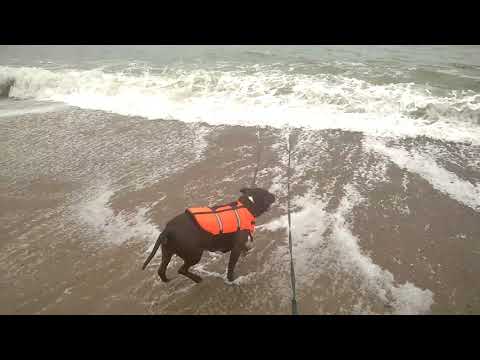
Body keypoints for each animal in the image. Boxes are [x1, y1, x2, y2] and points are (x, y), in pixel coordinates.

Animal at [142, 187, 274, 282]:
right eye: (267, 194)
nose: (274, 196)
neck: (246, 206)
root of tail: (168, 230)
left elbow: (244, 248)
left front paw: (247, 251)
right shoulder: (236, 248)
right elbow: (231, 266)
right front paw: (231, 279)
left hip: (167, 252)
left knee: (161, 270)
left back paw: (167, 280)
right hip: (194, 255)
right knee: (181, 269)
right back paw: (197, 279)